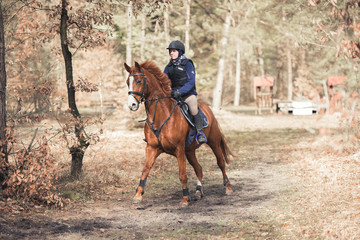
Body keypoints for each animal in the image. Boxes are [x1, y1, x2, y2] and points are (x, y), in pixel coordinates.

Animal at [125, 60, 235, 206]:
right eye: (127, 82)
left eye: (138, 81)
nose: (131, 105)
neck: (161, 116)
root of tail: (208, 108)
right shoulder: (152, 148)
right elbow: (145, 170)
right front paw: (138, 195)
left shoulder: (179, 149)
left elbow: (182, 174)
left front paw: (185, 198)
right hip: (189, 151)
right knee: (199, 168)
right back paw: (198, 191)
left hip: (214, 142)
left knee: (221, 163)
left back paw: (228, 188)